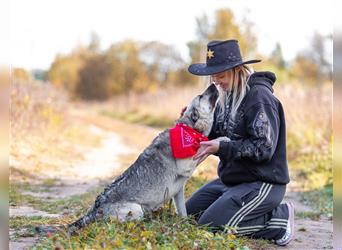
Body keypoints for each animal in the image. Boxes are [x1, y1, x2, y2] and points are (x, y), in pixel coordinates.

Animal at [40, 83, 218, 234]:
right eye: (201, 96)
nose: (213, 84)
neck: (188, 129)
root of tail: (95, 209)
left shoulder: (178, 192)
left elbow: (183, 211)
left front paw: (185, 225)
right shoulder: (187, 163)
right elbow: (201, 150)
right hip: (136, 210)